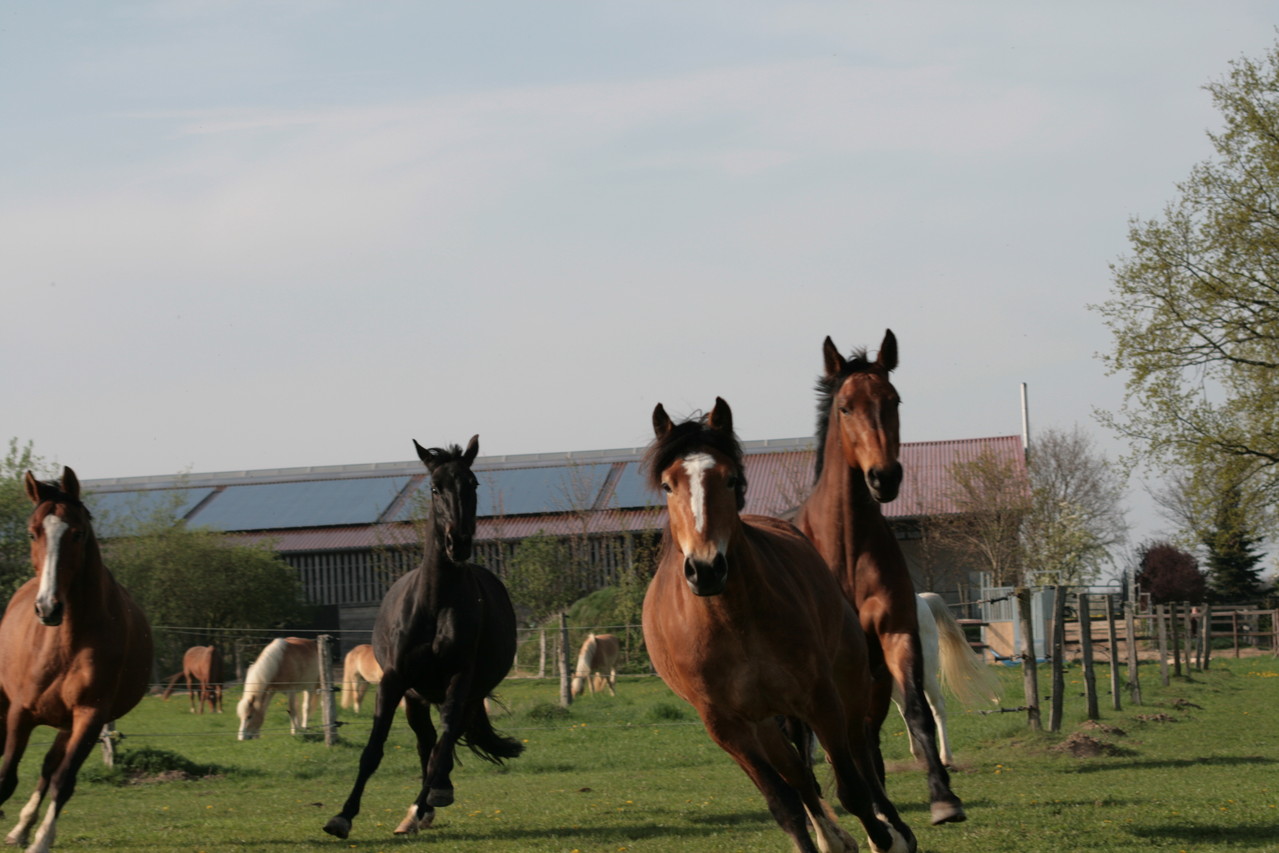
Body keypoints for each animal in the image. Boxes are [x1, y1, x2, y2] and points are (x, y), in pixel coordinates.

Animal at [0, 470, 152, 849]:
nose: (48, 607)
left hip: (67, 723)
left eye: (77, 532)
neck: (65, 642)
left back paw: (22, 830)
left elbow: (62, 780)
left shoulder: (90, 716)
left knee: (49, 769)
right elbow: (6, 777)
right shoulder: (20, 711)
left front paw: (41, 841)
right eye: (33, 532)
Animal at [324, 434, 524, 838]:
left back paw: (428, 801)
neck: (435, 604)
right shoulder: (394, 681)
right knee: (425, 740)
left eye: (472, 484)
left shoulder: (460, 680)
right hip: (416, 698)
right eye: (435, 487)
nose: (458, 543)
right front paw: (342, 816)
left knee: (441, 742)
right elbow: (374, 749)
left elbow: (444, 744)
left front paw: (432, 798)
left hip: (464, 694)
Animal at [644, 401, 915, 853]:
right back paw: (835, 840)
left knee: (860, 753)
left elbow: (852, 789)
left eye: (730, 478)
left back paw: (893, 829)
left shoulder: (820, 697)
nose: (705, 568)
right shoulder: (727, 727)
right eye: (668, 485)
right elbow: (784, 804)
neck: (732, 622)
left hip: (847, 682)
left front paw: (883, 837)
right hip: (765, 722)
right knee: (799, 776)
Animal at [792, 329, 961, 823]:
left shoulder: (894, 636)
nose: (884, 477)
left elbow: (916, 712)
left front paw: (943, 797)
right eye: (846, 407)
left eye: (894, 400)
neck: (847, 551)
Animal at [895, 593, 1002, 767]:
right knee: (907, 709)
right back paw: (920, 755)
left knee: (936, 707)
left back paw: (945, 758)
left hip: (925, 674)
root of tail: (922, 599)